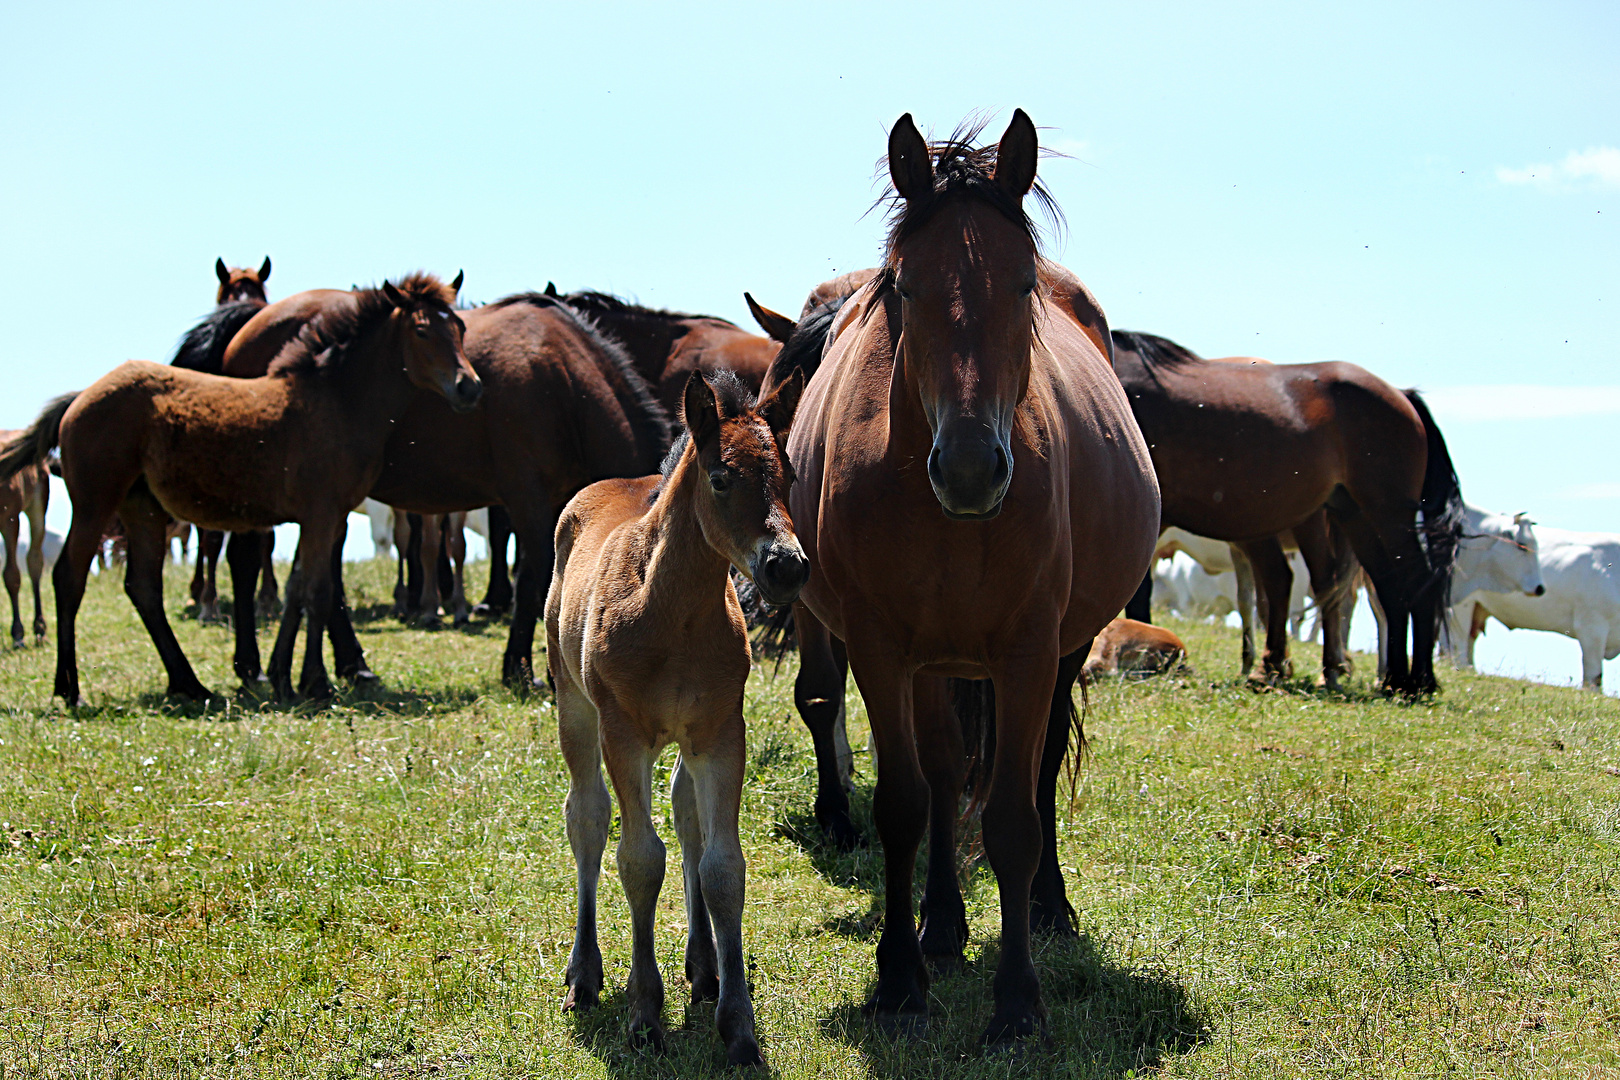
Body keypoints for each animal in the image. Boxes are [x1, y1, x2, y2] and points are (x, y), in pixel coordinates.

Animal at [0, 275, 479, 705]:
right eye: (422, 330)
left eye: (459, 327)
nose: (469, 386)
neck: (334, 401)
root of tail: (80, 398)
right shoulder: (323, 514)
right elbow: (318, 591)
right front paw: (316, 682)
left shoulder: (321, 517)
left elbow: (299, 588)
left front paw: (284, 677)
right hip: (96, 503)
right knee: (70, 577)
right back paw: (70, 689)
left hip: (144, 510)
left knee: (144, 588)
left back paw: (190, 685)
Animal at [550, 369, 810, 1062]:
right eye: (721, 477)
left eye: (790, 475)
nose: (787, 567)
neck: (673, 612)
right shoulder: (623, 732)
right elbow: (639, 859)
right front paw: (644, 1013)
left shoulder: (720, 733)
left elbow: (723, 867)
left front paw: (737, 1023)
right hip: (573, 706)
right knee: (587, 816)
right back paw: (584, 975)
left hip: (686, 740)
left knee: (686, 815)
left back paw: (704, 967)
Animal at [777, 114, 1159, 1042]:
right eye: (906, 287)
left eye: (1022, 286)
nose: (972, 467)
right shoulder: (882, 650)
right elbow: (906, 805)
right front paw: (899, 978)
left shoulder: (1027, 653)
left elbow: (1015, 817)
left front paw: (1018, 1001)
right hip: (934, 661)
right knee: (947, 779)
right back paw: (942, 927)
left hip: (1061, 651)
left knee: (1039, 771)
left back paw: (1049, 909)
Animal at [1108, 330, 1464, 696]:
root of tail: (1402, 395)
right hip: (1355, 516)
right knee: (1387, 585)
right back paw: (1390, 678)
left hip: (1386, 513)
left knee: (1415, 581)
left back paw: (1417, 681)